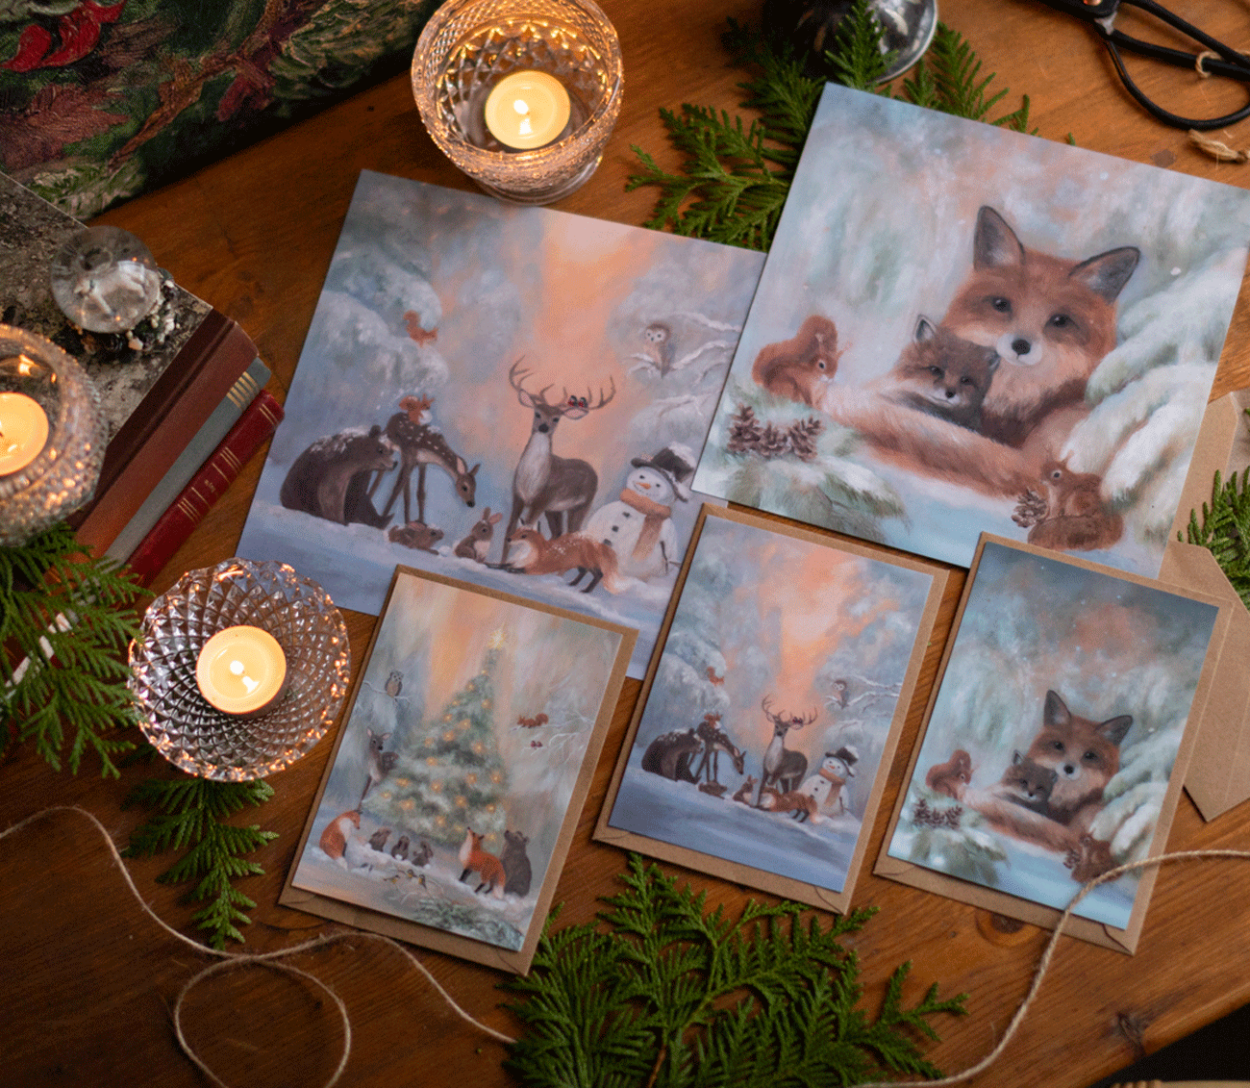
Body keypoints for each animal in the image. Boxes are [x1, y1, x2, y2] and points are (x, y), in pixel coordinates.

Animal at [371, 394, 480, 526]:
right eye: (465, 487)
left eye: (475, 486)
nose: (471, 503)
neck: (431, 449)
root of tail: (392, 417)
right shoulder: (410, 455)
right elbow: (397, 488)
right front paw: (382, 521)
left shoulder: (422, 462)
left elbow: (420, 493)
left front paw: (421, 522)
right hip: (391, 447)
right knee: (382, 473)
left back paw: (408, 521)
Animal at [503, 359, 615, 562]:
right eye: (537, 413)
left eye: (556, 418)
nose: (544, 427)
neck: (531, 479)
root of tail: (592, 470)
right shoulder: (518, 495)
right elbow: (509, 530)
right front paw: (499, 561)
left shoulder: (542, 498)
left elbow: (527, 530)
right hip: (554, 509)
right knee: (558, 533)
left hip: (582, 504)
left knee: (574, 532)